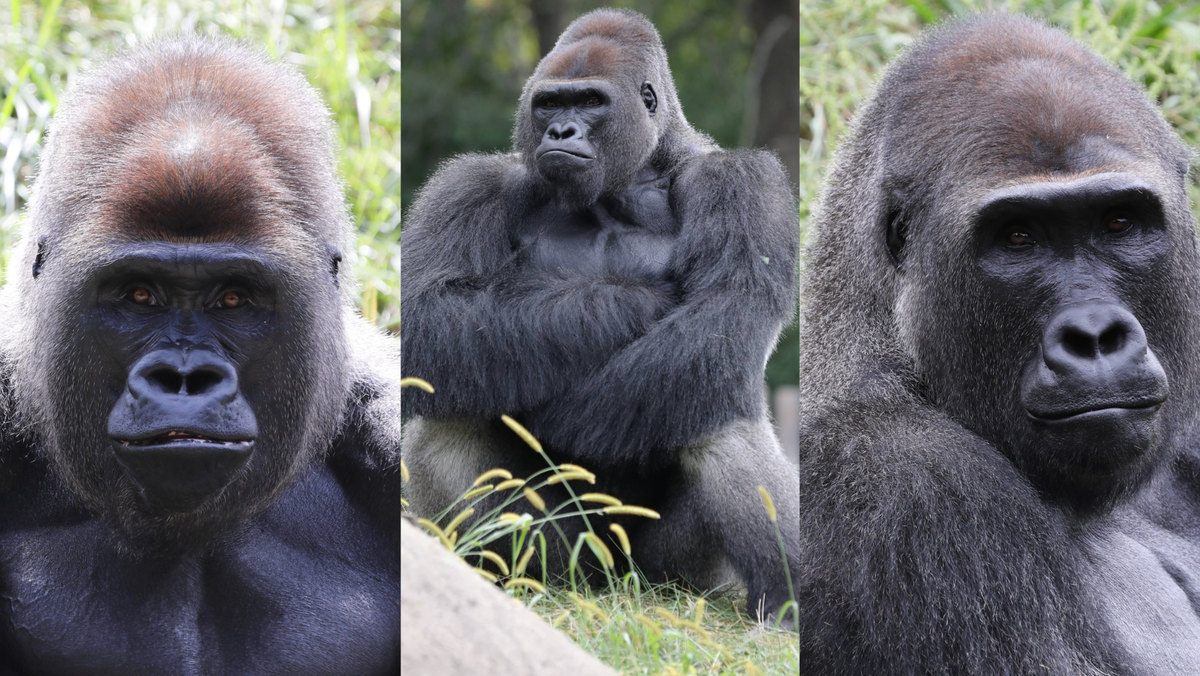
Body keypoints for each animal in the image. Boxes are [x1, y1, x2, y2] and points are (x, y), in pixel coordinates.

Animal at [398, 7, 801, 629]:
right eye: (549, 104)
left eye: (590, 102)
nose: (561, 133)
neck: (631, 178)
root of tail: (609, 584)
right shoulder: (470, 185)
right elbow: (431, 314)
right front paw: (634, 302)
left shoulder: (741, 180)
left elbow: (727, 308)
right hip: (560, 560)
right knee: (449, 409)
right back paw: (483, 573)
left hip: (668, 577)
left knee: (707, 387)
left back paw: (786, 603)